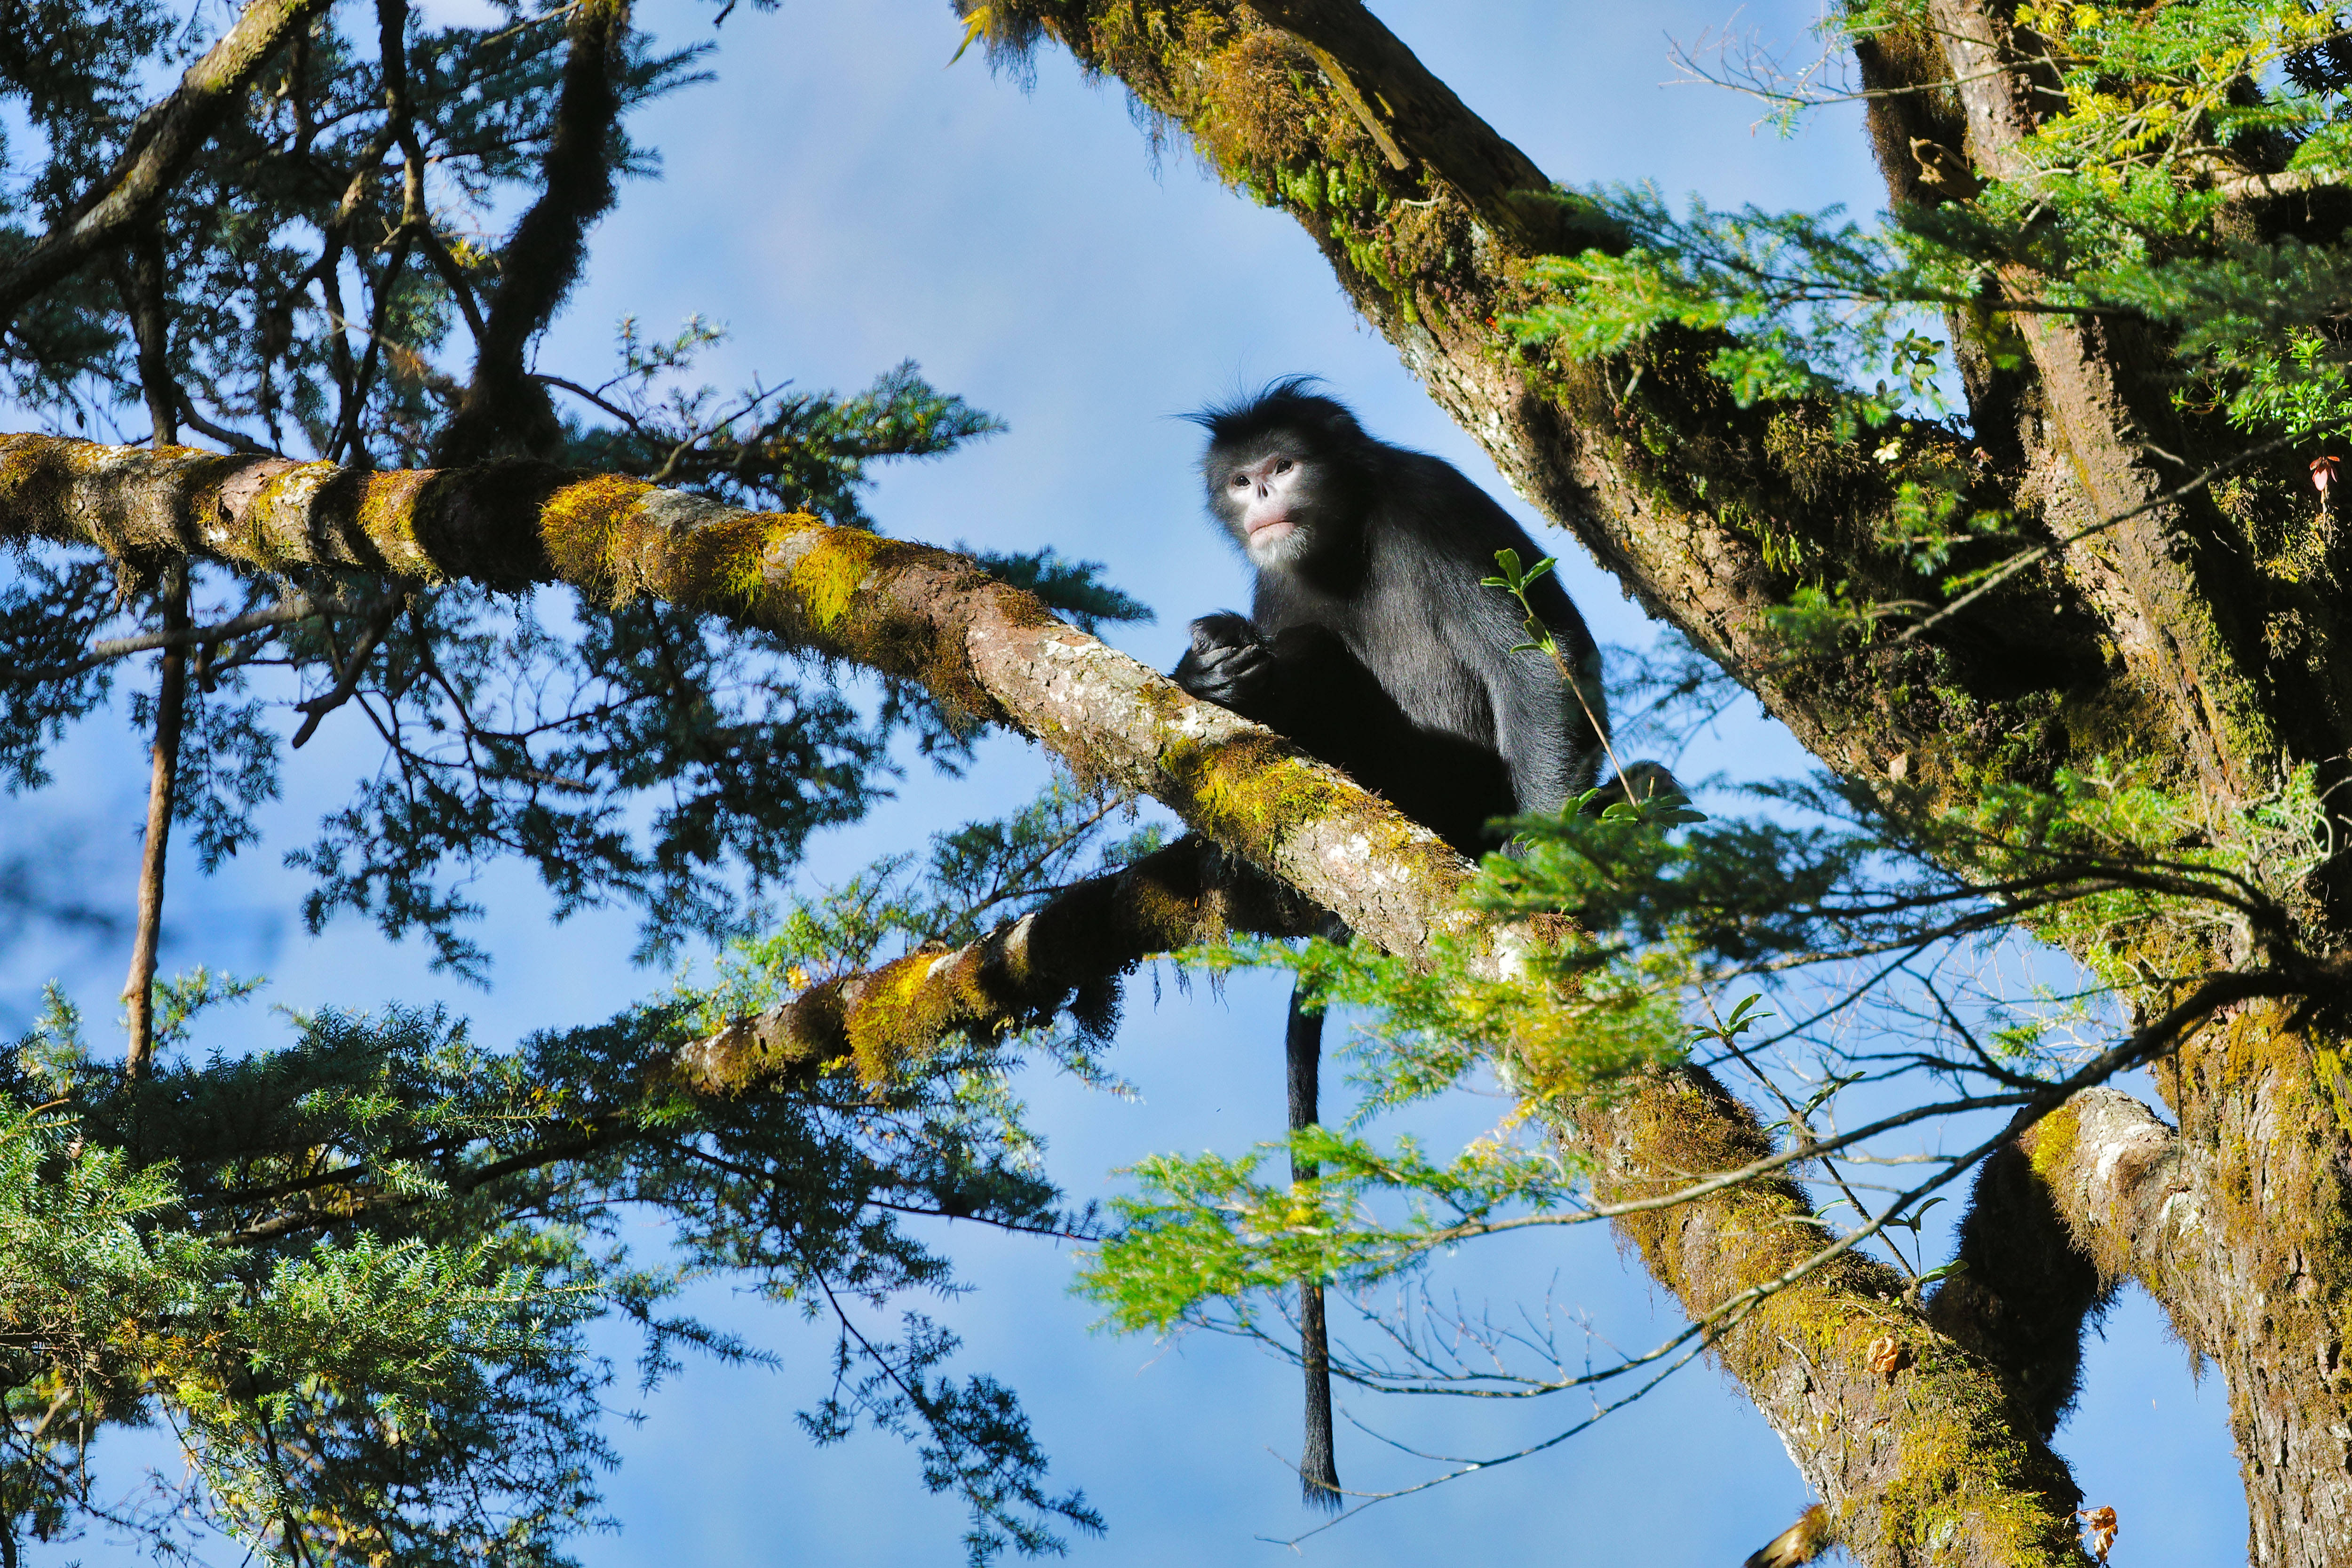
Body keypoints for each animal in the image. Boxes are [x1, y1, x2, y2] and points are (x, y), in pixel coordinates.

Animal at [1171, 376, 1656, 1504]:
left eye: (1284, 466)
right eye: (1242, 481)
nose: (1265, 500)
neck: (1343, 538)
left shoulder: (1429, 506)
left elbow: (1539, 664)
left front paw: (1552, 871)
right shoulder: (1272, 578)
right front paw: (1213, 671)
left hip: (1447, 784)